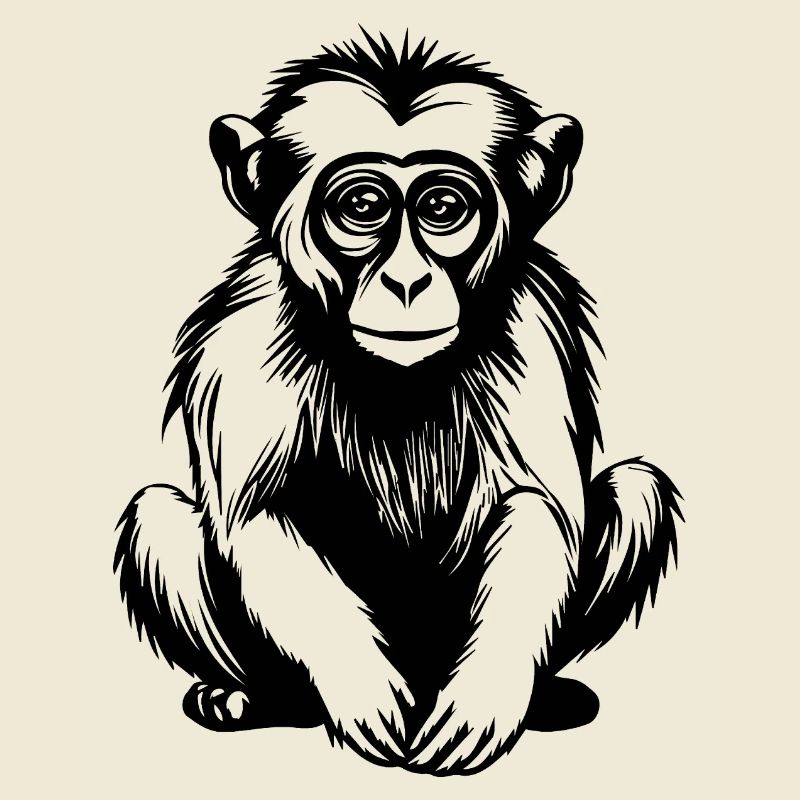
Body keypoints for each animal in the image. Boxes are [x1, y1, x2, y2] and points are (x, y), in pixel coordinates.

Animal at [114, 33, 682, 776]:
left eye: (442, 209)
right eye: (363, 207)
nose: (407, 280)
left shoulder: (532, 317)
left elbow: (540, 506)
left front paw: (486, 695)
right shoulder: (244, 332)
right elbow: (258, 512)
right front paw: (362, 685)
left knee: (637, 489)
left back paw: (548, 695)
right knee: (159, 520)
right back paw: (249, 696)